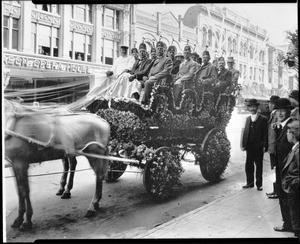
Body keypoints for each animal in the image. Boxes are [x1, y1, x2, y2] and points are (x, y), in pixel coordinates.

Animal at [4, 99, 110, 231]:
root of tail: (103, 122)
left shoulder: (21, 163)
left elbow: (25, 191)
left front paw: (27, 221)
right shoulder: (14, 165)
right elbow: (20, 191)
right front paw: (19, 219)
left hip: (94, 154)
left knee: (98, 177)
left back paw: (91, 206)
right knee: (96, 175)